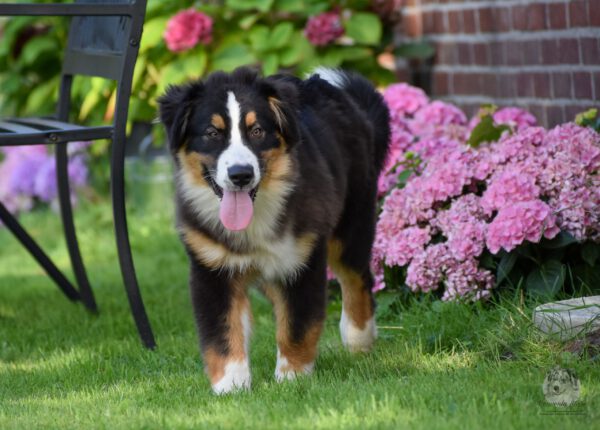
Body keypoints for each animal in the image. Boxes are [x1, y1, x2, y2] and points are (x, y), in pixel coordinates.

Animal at [158, 66, 390, 394]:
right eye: (212, 133)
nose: (240, 175)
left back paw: (359, 338)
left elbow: (297, 324)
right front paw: (231, 384)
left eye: (257, 131)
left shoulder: (301, 260)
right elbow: (222, 330)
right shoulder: (212, 267)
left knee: (356, 278)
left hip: (352, 221)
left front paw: (292, 378)